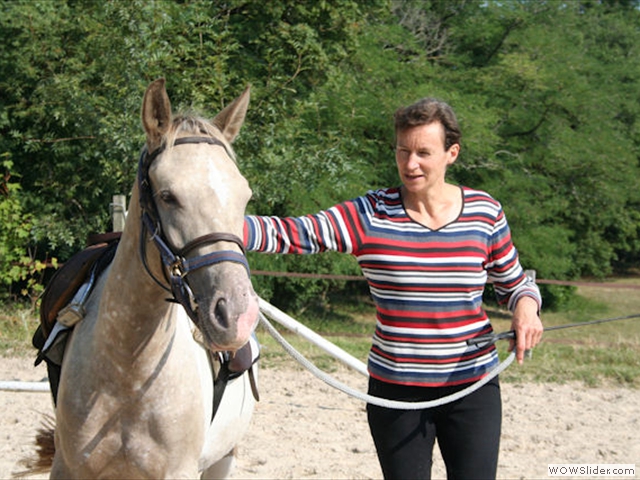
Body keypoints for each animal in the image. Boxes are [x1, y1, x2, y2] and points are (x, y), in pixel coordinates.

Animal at [42, 77, 260, 478]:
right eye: (168, 195)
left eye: (244, 196)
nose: (237, 315)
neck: (129, 370)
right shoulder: (67, 467)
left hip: (223, 458)